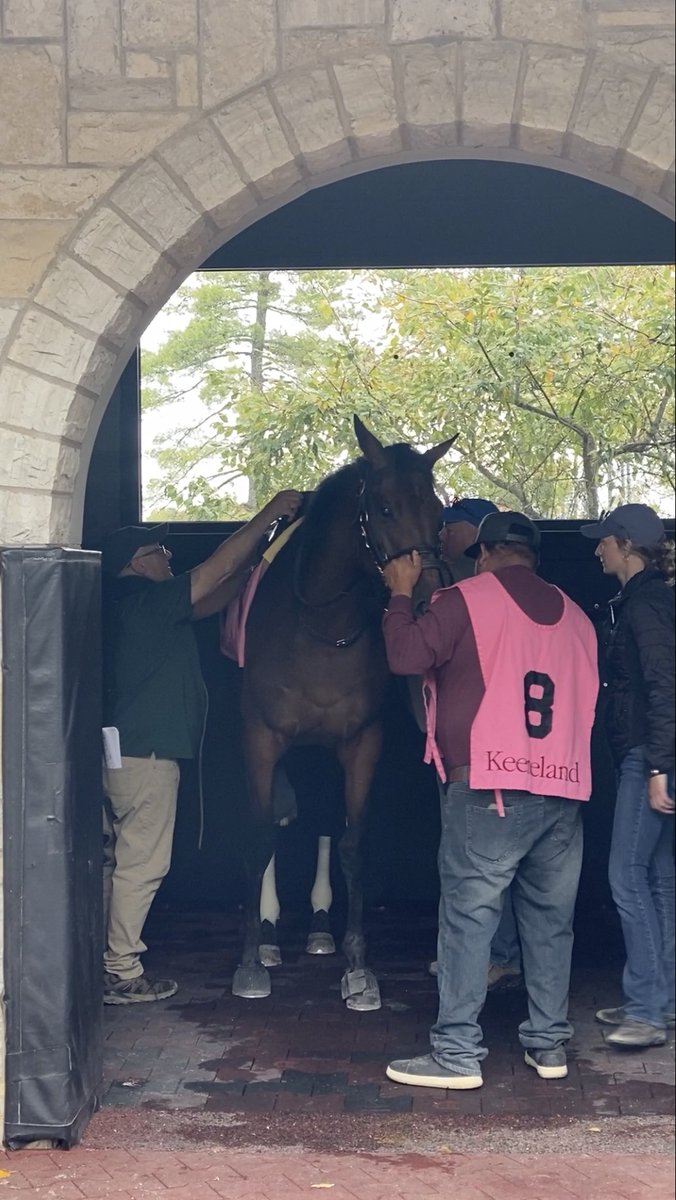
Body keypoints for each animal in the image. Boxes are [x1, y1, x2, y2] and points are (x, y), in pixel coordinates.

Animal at [232, 415, 457, 1011]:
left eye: (439, 511)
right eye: (385, 508)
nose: (428, 598)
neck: (319, 627)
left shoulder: (362, 739)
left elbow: (353, 844)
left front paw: (358, 967)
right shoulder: (261, 736)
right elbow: (259, 836)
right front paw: (249, 961)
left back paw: (318, 928)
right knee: (282, 815)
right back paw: (270, 937)